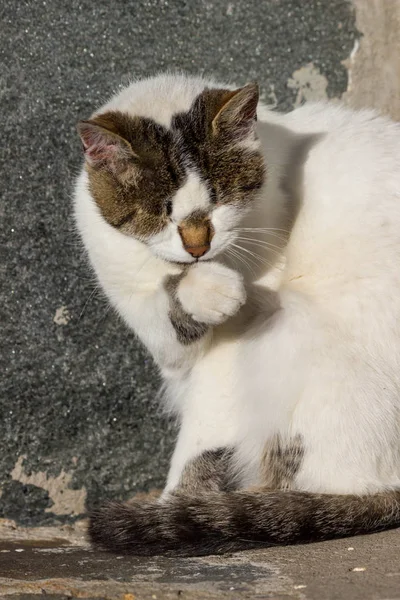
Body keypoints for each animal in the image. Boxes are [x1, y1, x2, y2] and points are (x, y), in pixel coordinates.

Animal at [73, 72, 400, 556]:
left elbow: (201, 439)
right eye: (161, 210)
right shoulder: (161, 336)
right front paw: (203, 290)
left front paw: (176, 509)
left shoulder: (238, 339)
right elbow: (165, 321)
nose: (197, 246)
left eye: (221, 199)